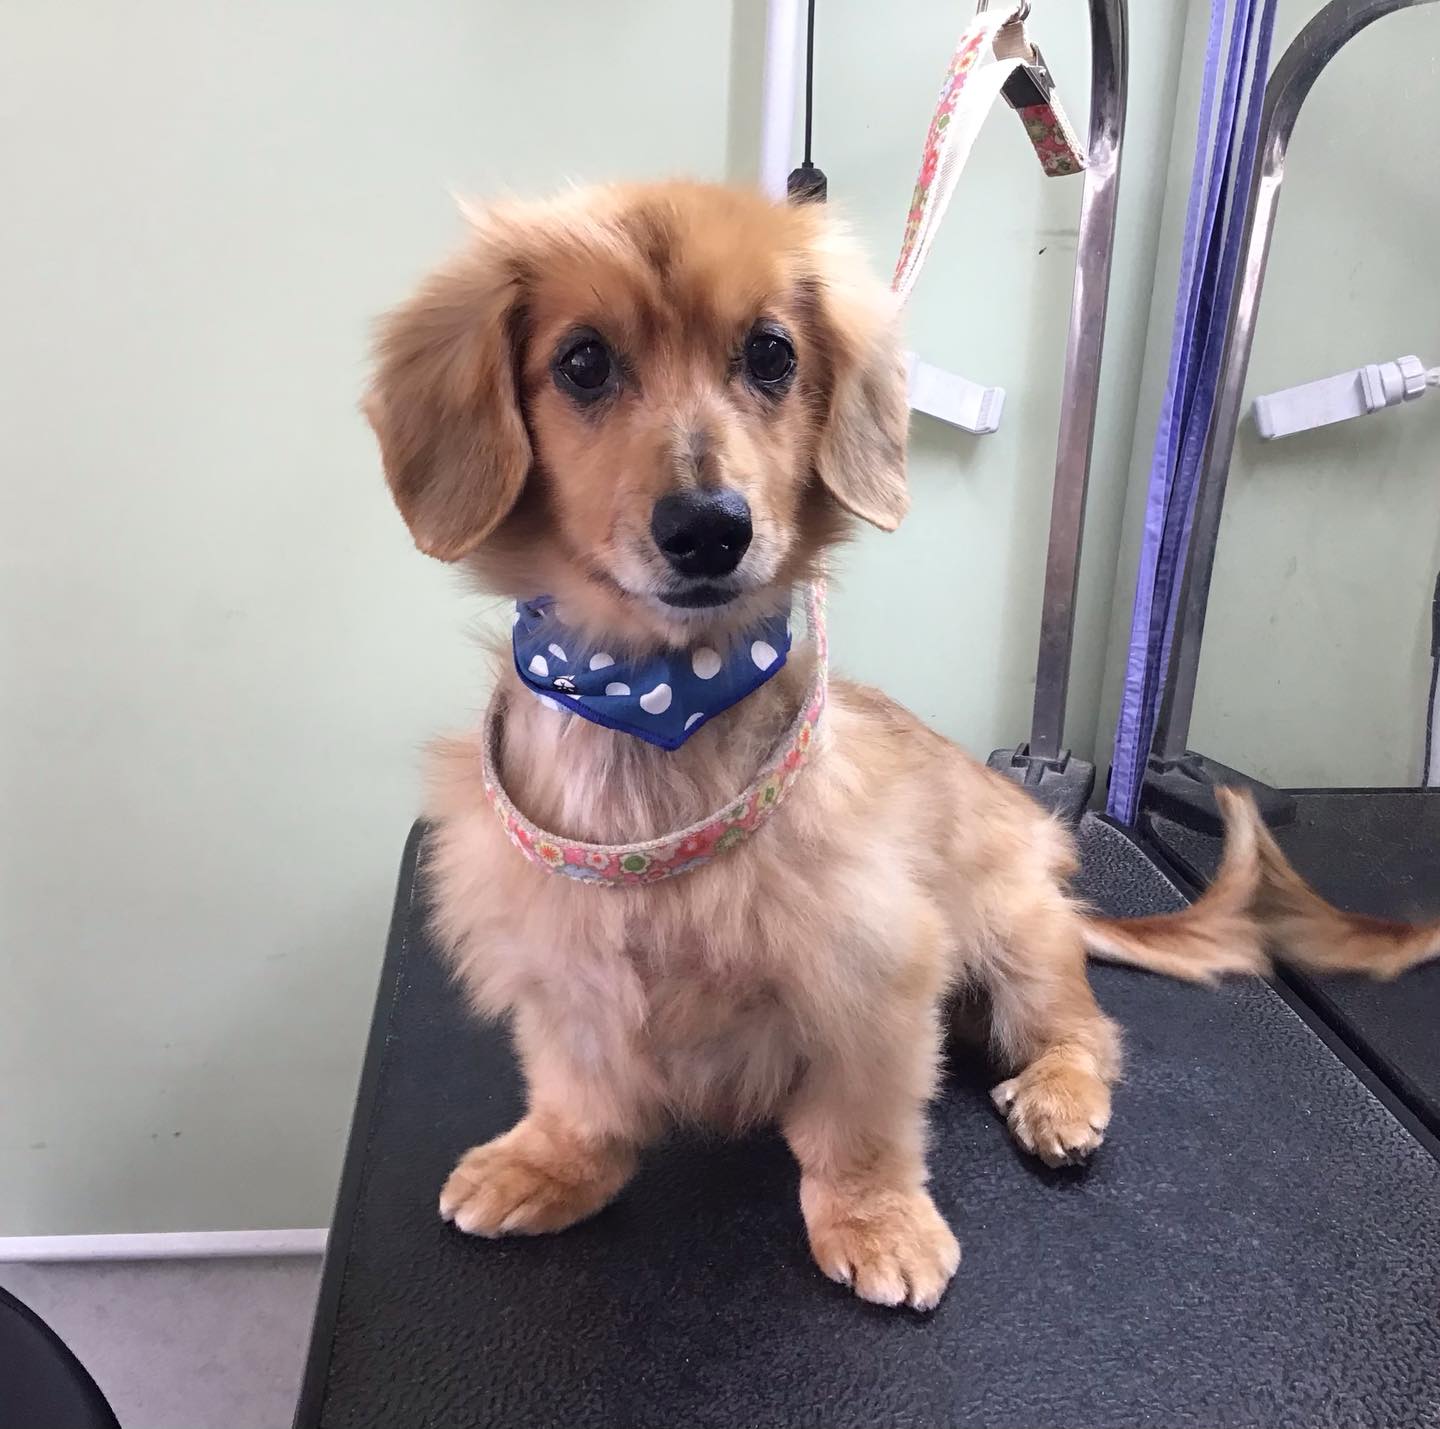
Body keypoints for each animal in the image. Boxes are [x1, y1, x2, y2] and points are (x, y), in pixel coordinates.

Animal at [365, 181, 1440, 1310]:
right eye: (581, 362)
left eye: (771, 354)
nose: (710, 528)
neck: (660, 712)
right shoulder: (561, 969)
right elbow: (583, 1095)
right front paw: (551, 1163)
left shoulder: (874, 972)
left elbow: (861, 1127)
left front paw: (877, 1220)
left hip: (1016, 935)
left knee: (1084, 1030)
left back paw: (1059, 1098)